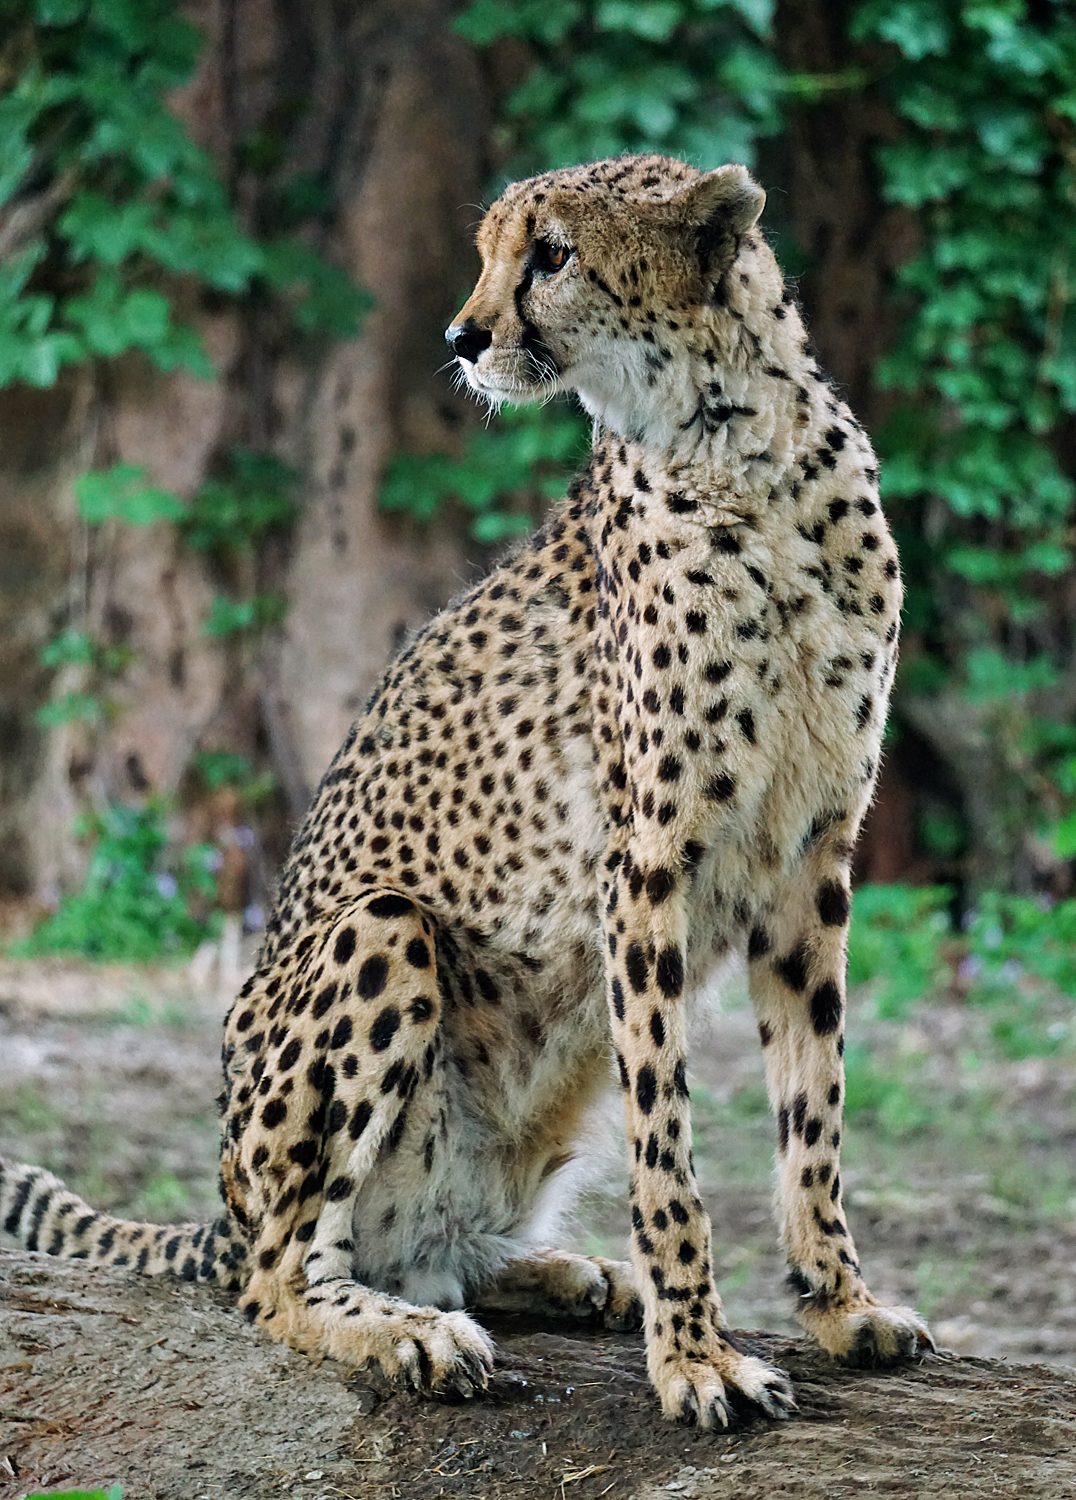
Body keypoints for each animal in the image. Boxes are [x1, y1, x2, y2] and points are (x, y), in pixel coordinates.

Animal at [0, 155, 930, 1428]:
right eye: (491, 254)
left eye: (552, 254)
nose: (460, 335)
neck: (739, 446)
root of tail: (223, 1203)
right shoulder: (643, 864)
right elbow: (669, 1145)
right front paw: (696, 1357)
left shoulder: (810, 855)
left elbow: (813, 1107)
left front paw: (839, 1304)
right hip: (380, 935)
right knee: (281, 1277)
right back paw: (407, 1334)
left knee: (427, 1251)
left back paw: (567, 1274)